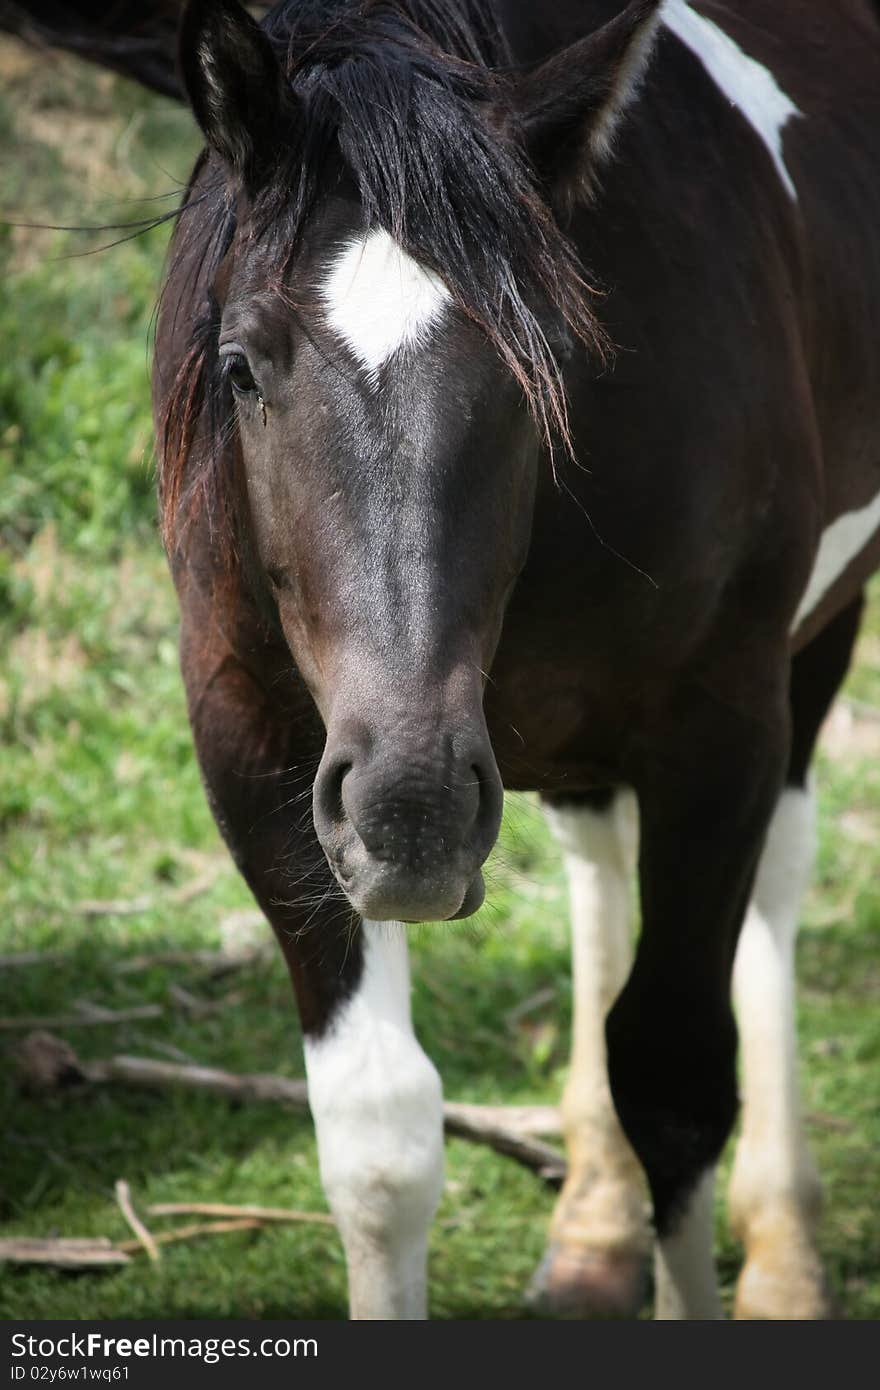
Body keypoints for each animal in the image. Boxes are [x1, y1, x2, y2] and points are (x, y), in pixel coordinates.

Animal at [154, 0, 878, 1317]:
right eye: (239, 368)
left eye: (544, 359)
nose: (412, 810)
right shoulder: (249, 736)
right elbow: (380, 1137)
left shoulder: (719, 732)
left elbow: (676, 1080)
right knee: (595, 857)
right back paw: (591, 1225)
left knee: (778, 883)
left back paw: (785, 1252)